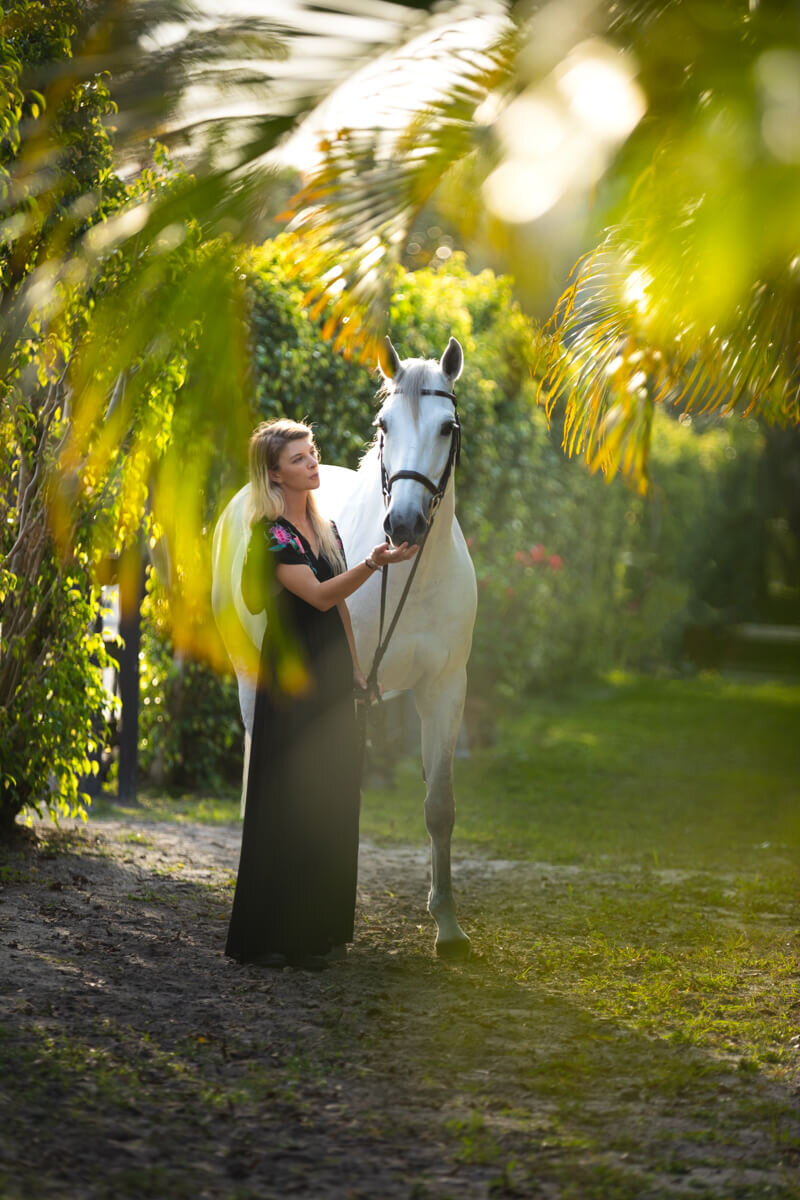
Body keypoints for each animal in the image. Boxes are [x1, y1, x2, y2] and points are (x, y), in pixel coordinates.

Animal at [209, 336, 479, 955]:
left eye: (448, 427)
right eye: (383, 424)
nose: (403, 525)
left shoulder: (444, 689)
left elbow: (441, 808)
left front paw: (448, 926)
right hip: (250, 674)